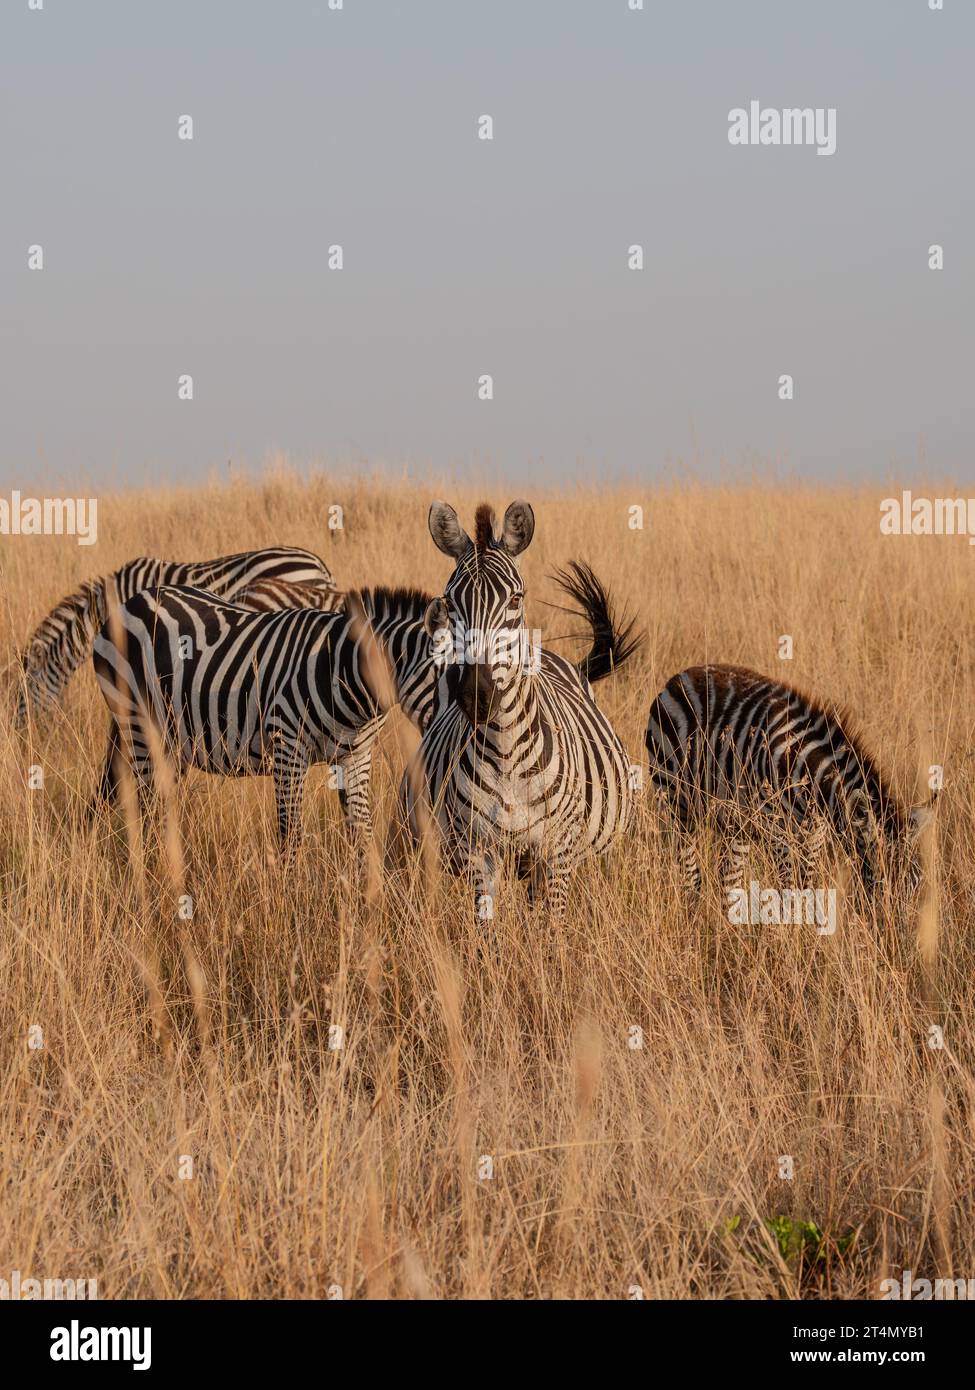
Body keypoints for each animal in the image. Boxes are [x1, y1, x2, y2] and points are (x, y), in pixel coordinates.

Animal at [399, 500, 641, 920]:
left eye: (515, 599)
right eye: (451, 602)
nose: (476, 695)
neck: (506, 751)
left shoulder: (557, 851)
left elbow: (553, 926)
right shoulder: (478, 851)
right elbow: (486, 930)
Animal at [645, 663, 936, 899]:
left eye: (916, 885)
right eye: (885, 881)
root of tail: (679, 677)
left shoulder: (814, 836)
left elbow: (805, 885)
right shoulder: (779, 836)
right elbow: (789, 889)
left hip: (736, 824)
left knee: (728, 877)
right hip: (676, 802)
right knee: (689, 872)